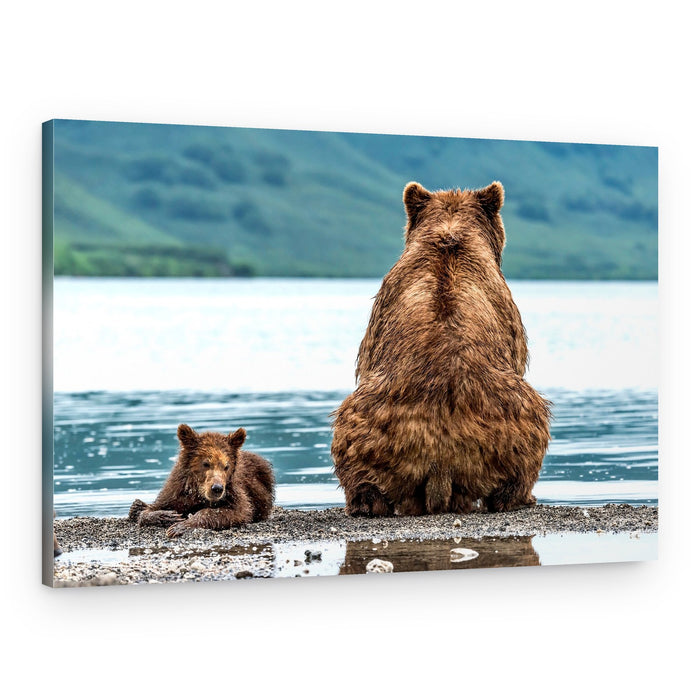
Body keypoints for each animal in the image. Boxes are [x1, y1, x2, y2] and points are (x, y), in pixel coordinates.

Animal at [129, 424, 275, 537]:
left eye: (226, 466)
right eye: (206, 463)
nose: (217, 488)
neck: (198, 492)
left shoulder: (234, 492)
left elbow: (238, 512)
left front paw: (180, 526)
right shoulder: (177, 490)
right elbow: (151, 510)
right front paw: (167, 516)